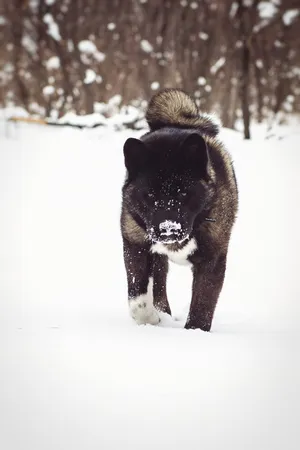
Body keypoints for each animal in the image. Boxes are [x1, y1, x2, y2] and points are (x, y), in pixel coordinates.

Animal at [120, 89, 238, 330]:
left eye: (184, 193)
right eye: (150, 195)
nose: (168, 230)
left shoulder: (212, 260)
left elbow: (202, 306)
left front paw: (194, 332)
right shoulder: (135, 246)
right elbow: (138, 300)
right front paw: (152, 320)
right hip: (157, 259)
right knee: (159, 286)